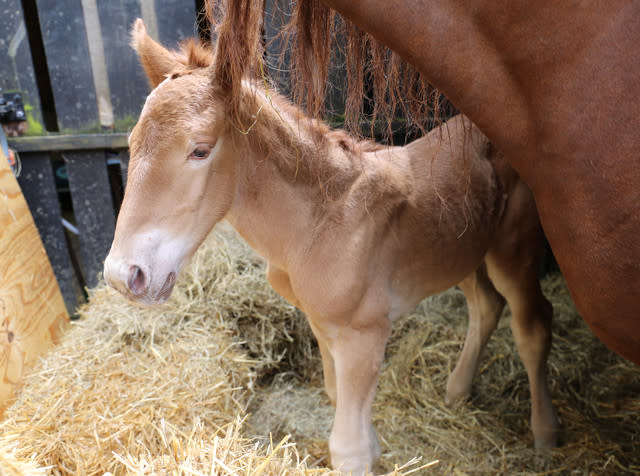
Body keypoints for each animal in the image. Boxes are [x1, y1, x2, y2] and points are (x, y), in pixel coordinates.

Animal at [104, 21, 556, 476]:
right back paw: (458, 391)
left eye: (200, 150)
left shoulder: (365, 333)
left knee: (531, 324)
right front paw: (377, 449)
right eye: (132, 143)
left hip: (513, 247)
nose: (124, 275)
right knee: (485, 306)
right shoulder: (323, 324)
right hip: (464, 250)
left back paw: (544, 434)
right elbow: (341, 401)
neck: (320, 222)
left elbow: (348, 447)